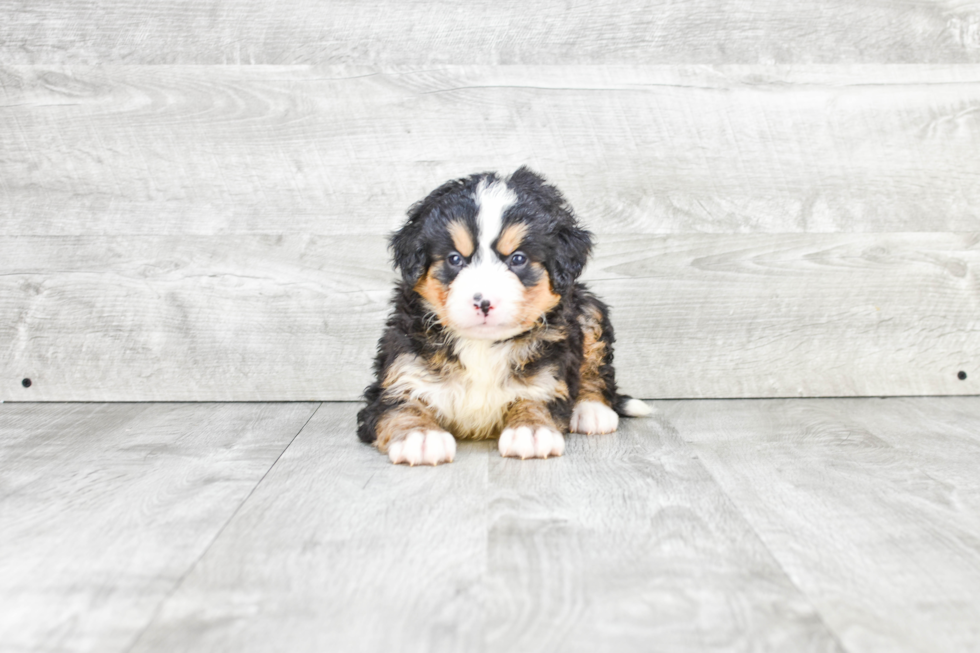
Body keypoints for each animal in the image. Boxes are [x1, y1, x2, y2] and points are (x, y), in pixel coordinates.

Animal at [356, 167, 648, 464]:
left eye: (518, 259)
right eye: (454, 259)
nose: (484, 302)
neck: (482, 346)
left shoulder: (549, 371)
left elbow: (536, 397)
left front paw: (531, 429)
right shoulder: (402, 369)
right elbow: (401, 405)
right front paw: (420, 436)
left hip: (589, 309)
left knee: (595, 367)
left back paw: (591, 410)